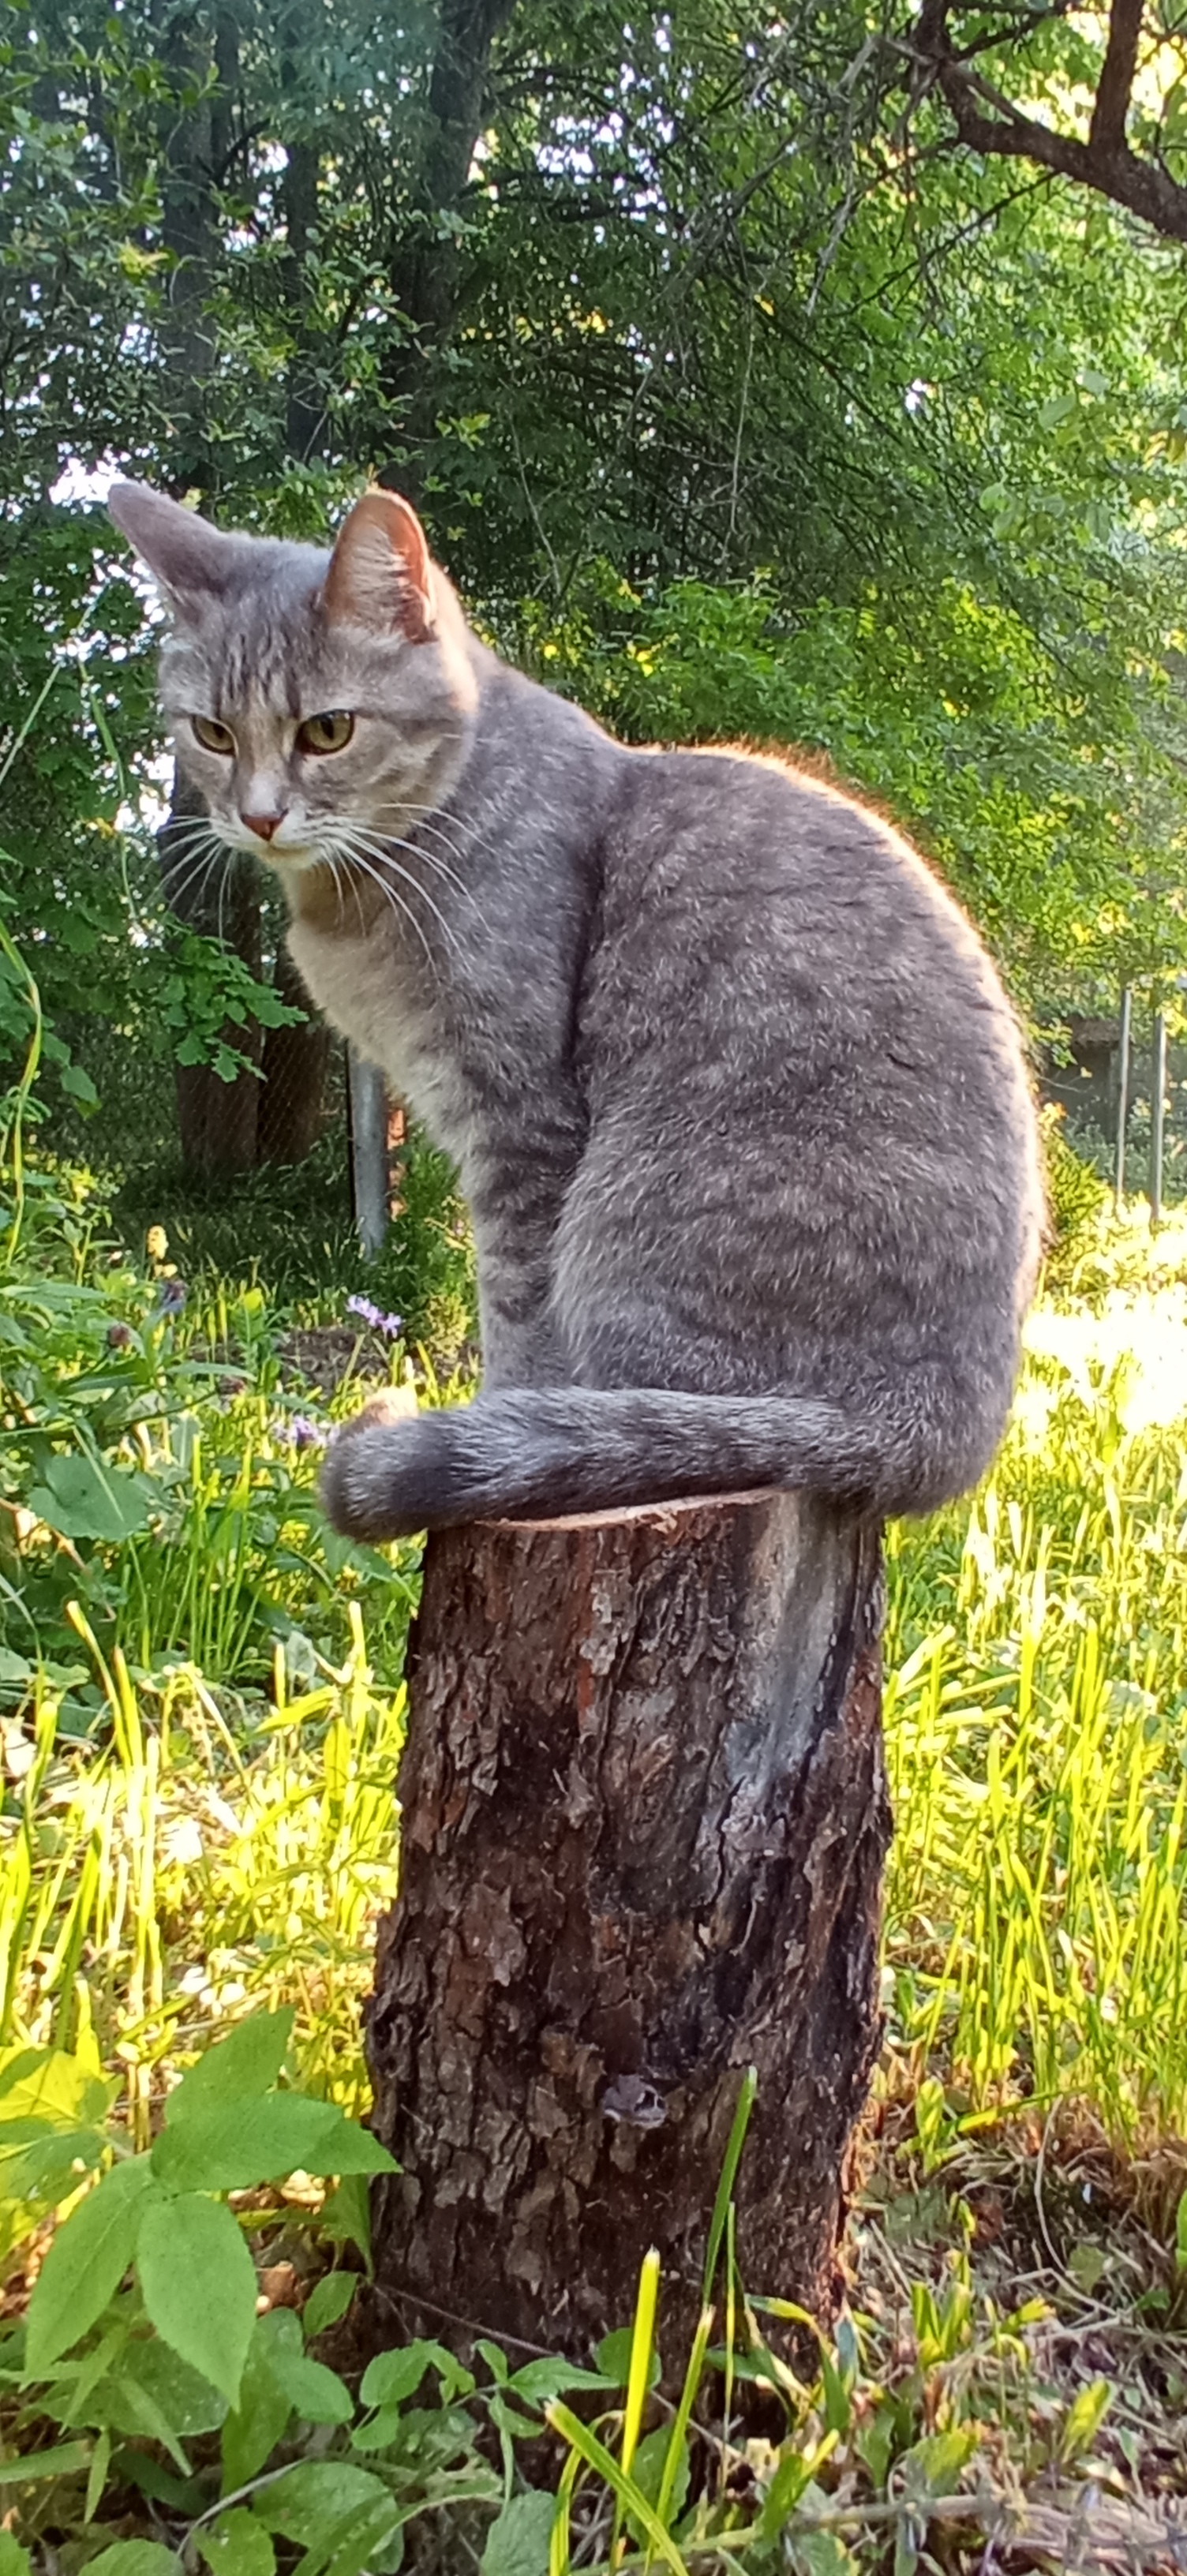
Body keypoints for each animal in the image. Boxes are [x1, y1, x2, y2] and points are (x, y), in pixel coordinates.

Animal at [108, 479, 1035, 1525]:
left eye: (328, 730)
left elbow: (515, 1308)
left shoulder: (520, 1124)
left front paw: (499, 1415)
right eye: (212, 733)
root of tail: (943, 1434)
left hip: (638, 1219)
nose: (258, 815)